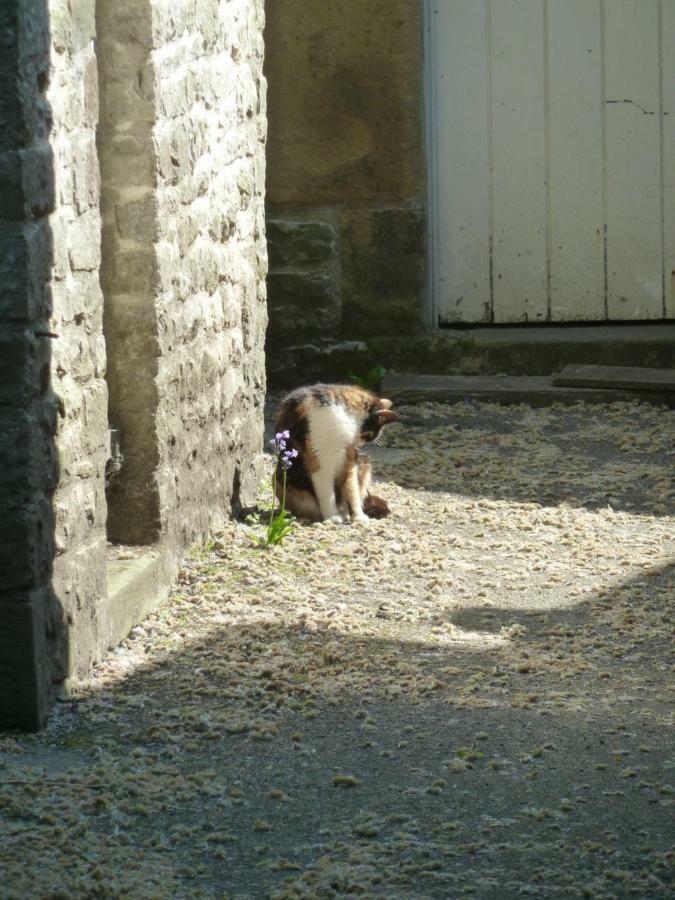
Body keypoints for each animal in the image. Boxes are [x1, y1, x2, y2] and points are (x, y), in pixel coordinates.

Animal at [274, 384, 396, 524]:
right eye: (368, 437)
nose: (358, 446)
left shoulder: (349, 462)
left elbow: (352, 491)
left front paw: (358, 516)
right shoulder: (320, 462)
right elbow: (327, 494)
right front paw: (332, 516)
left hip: (365, 464)